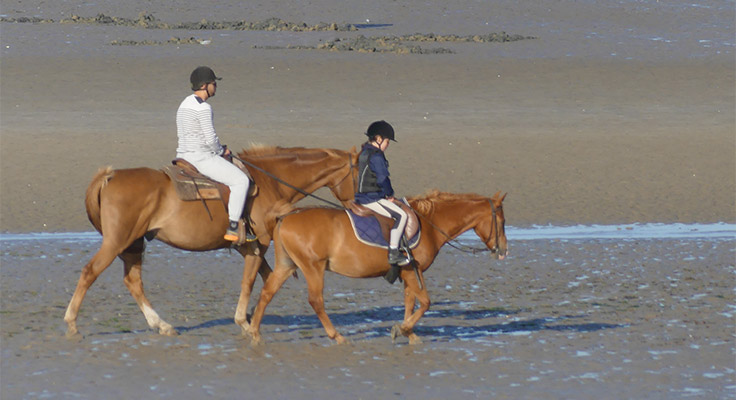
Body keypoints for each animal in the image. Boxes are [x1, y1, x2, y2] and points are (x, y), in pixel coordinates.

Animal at [64, 145, 359, 338]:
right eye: (361, 174)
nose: (358, 205)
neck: (268, 181)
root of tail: (109, 175)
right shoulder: (257, 245)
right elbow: (250, 281)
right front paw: (244, 321)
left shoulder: (248, 247)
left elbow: (265, 276)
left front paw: (251, 316)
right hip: (117, 241)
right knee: (90, 272)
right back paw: (72, 322)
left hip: (133, 244)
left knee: (133, 281)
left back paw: (161, 324)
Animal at [247, 190, 507, 345]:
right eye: (502, 221)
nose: (504, 250)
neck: (429, 224)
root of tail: (288, 215)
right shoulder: (413, 270)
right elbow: (425, 303)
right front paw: (403, 329)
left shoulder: (408, 273)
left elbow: (410, 302)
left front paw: (408, 333)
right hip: (313, 268)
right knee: (316, 301)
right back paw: (336, 336)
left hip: (286, 265)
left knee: (267, 293)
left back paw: (255, 332)